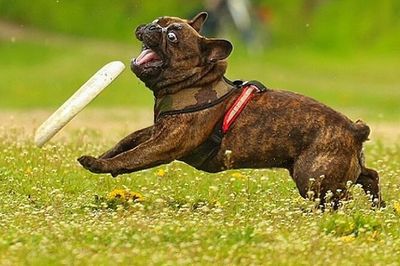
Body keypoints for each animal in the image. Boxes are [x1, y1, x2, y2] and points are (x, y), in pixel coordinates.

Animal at [77, 11, 382, 208]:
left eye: (172, 37)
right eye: (157, 22)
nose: (151, 27)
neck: (195, 81)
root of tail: (354, 130)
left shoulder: (166, 143)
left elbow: (134, 156)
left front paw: (100, 164)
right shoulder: (158, 130)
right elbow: (128, 140)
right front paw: (104, 154)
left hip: (312, 177)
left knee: (338, 197)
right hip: (340, 169)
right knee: (369, 175)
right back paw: (378, 206)